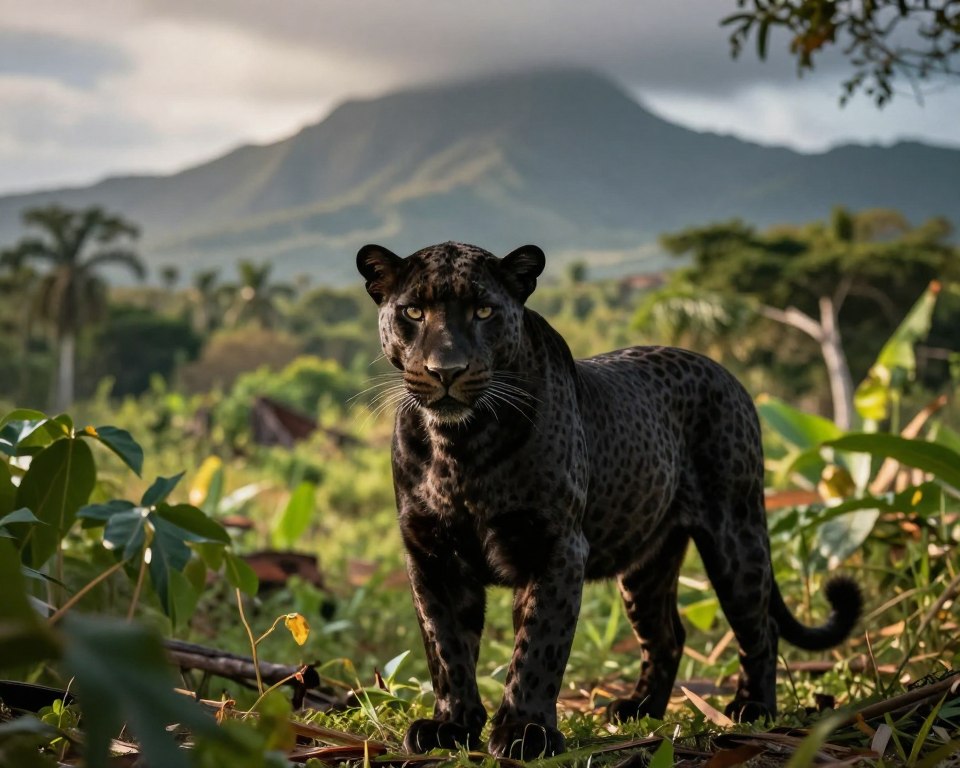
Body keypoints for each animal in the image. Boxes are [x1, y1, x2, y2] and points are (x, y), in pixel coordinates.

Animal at [356, 241, 862, 760]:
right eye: (413, 312)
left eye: (483, 311)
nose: (446, 370)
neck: (460, 447)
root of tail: (725, 372)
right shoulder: (431, 554)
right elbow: (446, 647)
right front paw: (451, 727)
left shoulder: (556, 546)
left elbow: (538, 646)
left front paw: (524, 732)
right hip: (647, 564)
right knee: (667, 635)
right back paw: (639, 710)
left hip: (735, 535)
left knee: (759, 626)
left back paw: (752, 708)